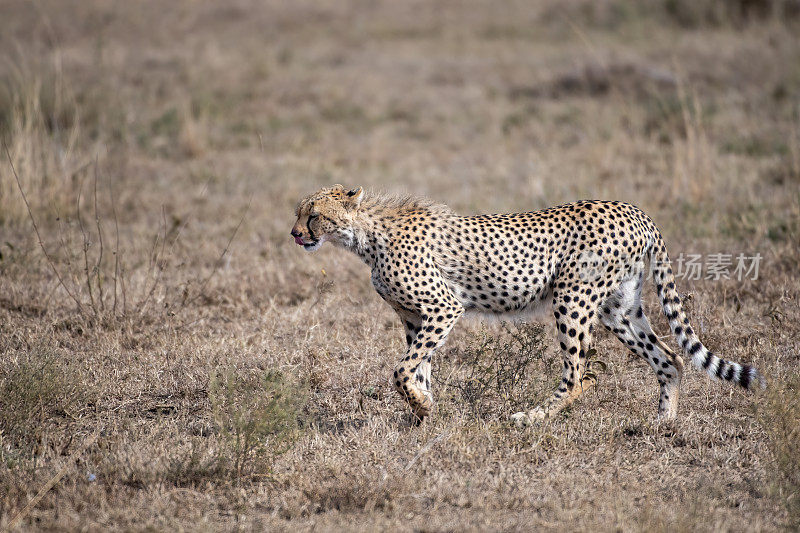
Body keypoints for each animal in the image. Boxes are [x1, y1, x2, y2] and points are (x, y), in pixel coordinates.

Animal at [290, 186, 764, 424]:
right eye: (299, 212)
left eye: (313, 214)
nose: (295, 234)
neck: (365, 236)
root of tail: (633, 209)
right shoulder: (414, 317)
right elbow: (418, 368)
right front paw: (424, 416)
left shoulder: (443, 308)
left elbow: (402, 369)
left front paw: (423, 410)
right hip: (618, 307)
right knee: (669, 358)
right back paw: (663, 424)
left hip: (573, 299)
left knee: (579, 373)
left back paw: (531, 417)